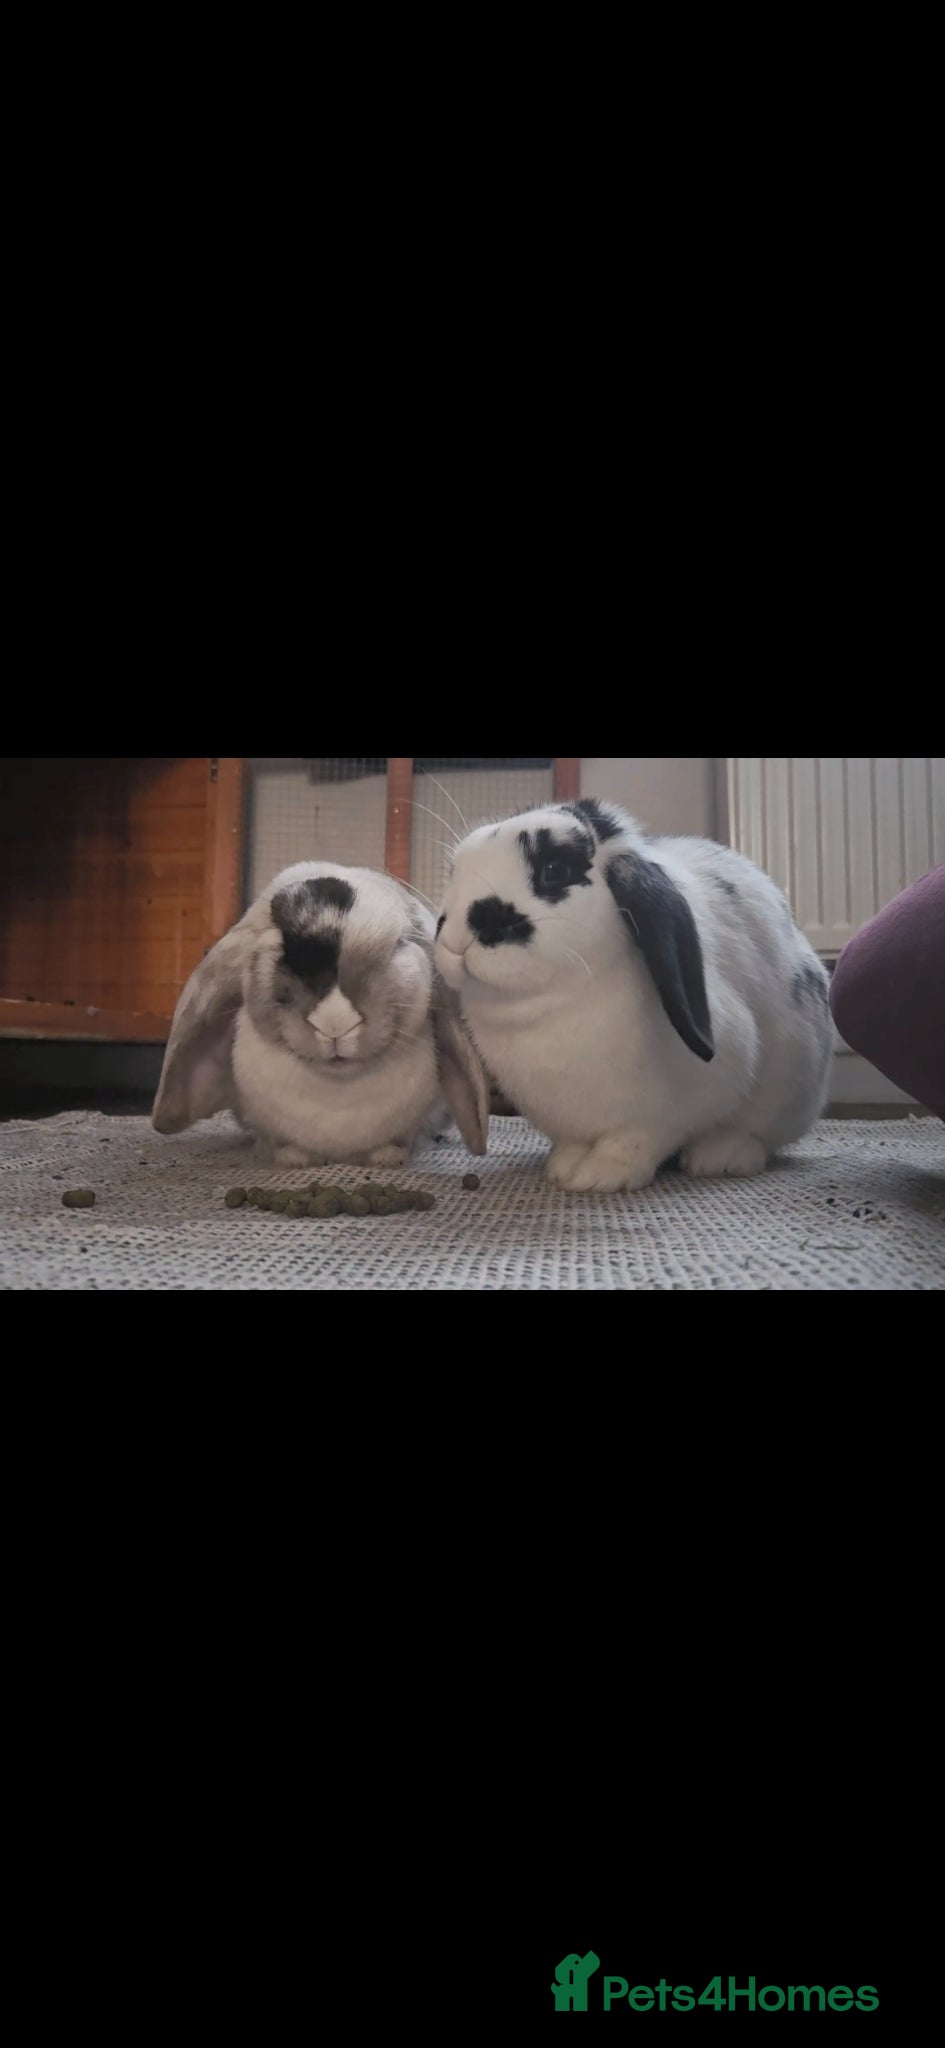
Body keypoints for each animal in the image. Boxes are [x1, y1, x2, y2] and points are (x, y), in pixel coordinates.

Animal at [433, 796, 833, 1193]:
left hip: (788, 1088)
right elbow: (573, 1144)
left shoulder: (658, 1116)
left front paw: (600, 1177)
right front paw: (563, 1169)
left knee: (756, 1133)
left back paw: (719, 1158)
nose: (456, 938)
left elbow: (633, 1142)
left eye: (555, 869)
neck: (543, 1007)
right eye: (454, 871)